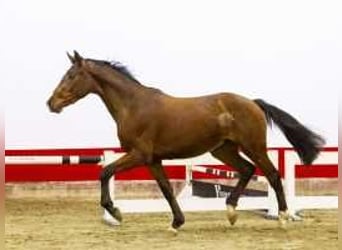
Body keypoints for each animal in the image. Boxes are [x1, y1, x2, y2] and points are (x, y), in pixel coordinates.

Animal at [46, 51, 324, 232]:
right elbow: (166, 188)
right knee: (247, 170)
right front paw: (176, 222)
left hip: (253, 147)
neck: (133, 106)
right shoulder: (153, 159)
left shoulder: (139, 154)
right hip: (223, 150)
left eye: (71, 75)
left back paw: (282, 217)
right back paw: (231, 212)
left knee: (272, 174)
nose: (51, 103)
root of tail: (253, 103)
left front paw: (115, 212)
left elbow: (105, 172)